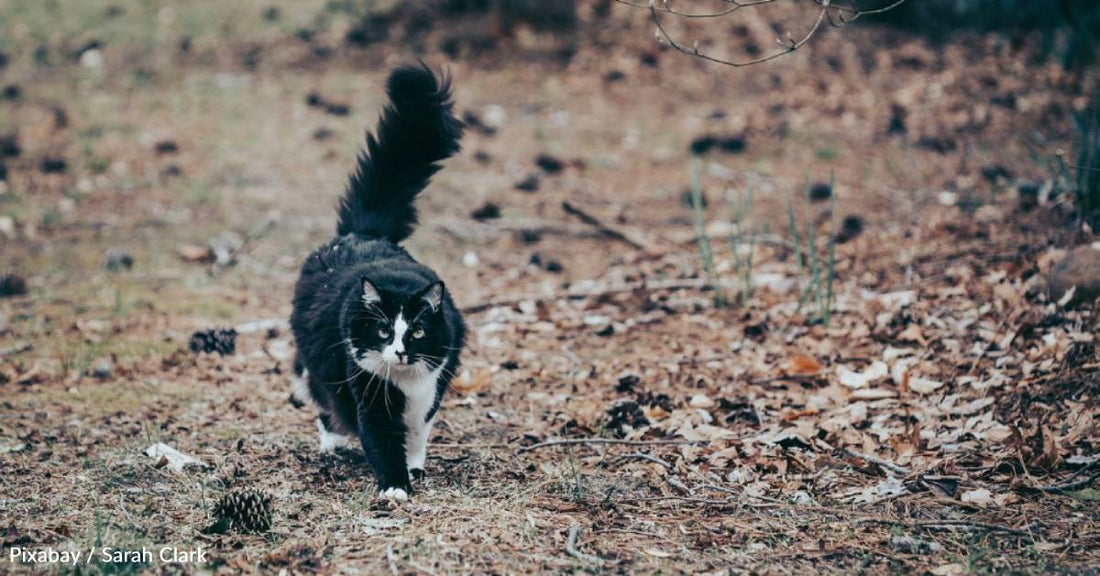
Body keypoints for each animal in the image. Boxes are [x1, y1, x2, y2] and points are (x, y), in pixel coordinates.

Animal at [288, 65, 464, 501]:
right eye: (384, 331)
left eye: (417, 332)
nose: (399, 351)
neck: (404, 381)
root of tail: (363, 234)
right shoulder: (369, 392)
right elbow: (382, 439)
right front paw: (396, 486)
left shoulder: (430, 390)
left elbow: (417, 431)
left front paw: (413, 468)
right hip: (322, 363)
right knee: (324, 399)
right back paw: (333, 441)